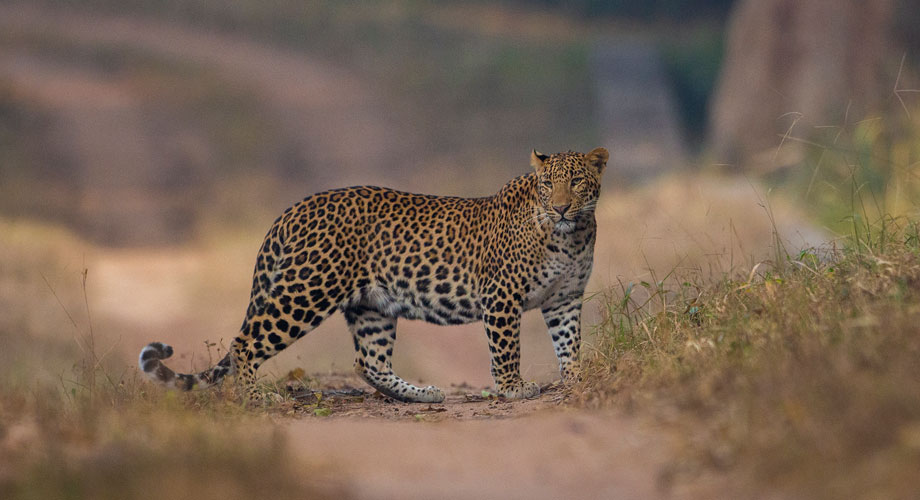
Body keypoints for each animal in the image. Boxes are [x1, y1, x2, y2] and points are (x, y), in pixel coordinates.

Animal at [140, 146, 608, 400]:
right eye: (547, 184)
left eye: (577, 182)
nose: (560, 207)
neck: (570, 235)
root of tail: (292, 210)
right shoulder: (502, 296)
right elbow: (506, 348)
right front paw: (514, 388)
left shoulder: (565, 299)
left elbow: (569, 342)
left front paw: (578, 376)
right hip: (306, 292)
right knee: (244, 343)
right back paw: (257, 398)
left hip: (371, 306)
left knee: (368, 362)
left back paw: (422, 396)